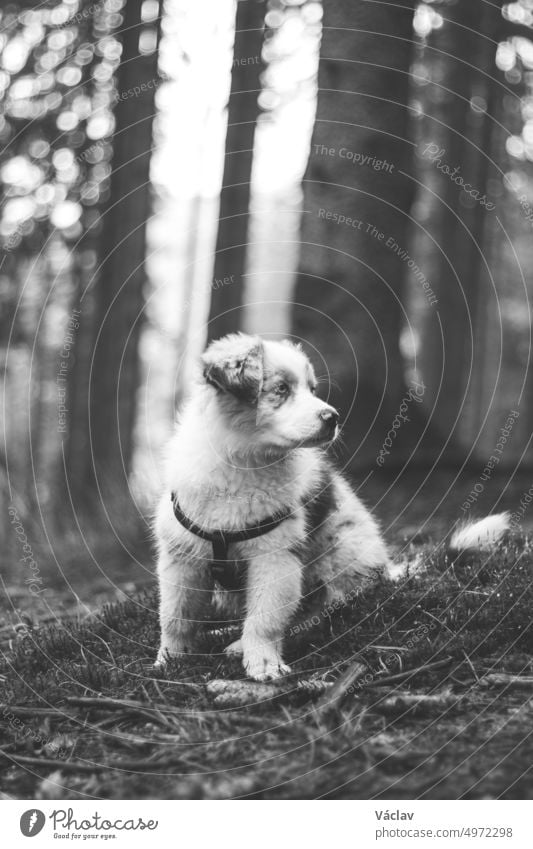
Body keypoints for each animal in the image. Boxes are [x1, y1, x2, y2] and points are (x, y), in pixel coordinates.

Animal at [154, 332, 390, 684]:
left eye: (312, 389)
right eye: (281, 389)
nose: (333, 418)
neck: (242, 464)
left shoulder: (275, 557)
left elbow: (266, 619)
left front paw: (264, 663)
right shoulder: (182, 556)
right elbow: (175, 617)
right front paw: (169, 660)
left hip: (341, 555)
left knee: (319, 612)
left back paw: (239, 644)